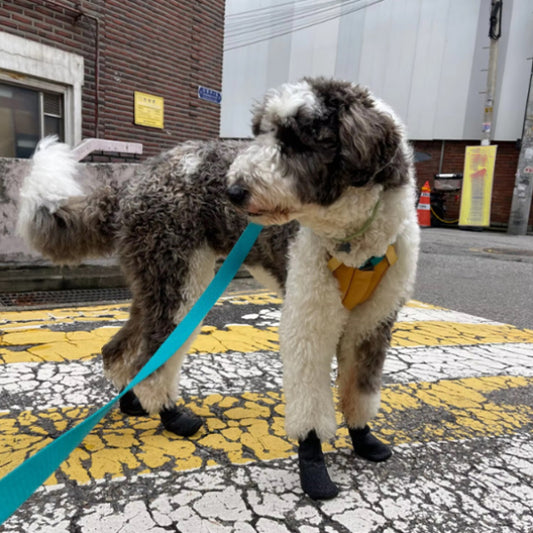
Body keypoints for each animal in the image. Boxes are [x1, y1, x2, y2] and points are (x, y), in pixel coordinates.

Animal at [17, 77, 420, 496]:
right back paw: (169, 413)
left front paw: (363, 436)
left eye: (297, 141)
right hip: (179, 276)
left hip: (155, 277)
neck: (353, 240)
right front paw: (314, 465)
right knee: (154, 356)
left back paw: (132, 400)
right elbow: (310, 398)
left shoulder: (373, 322)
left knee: (120, 348)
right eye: (261, 133)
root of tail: (132, 182)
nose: (234, 192)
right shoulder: (310, 318)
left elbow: (361, 387)